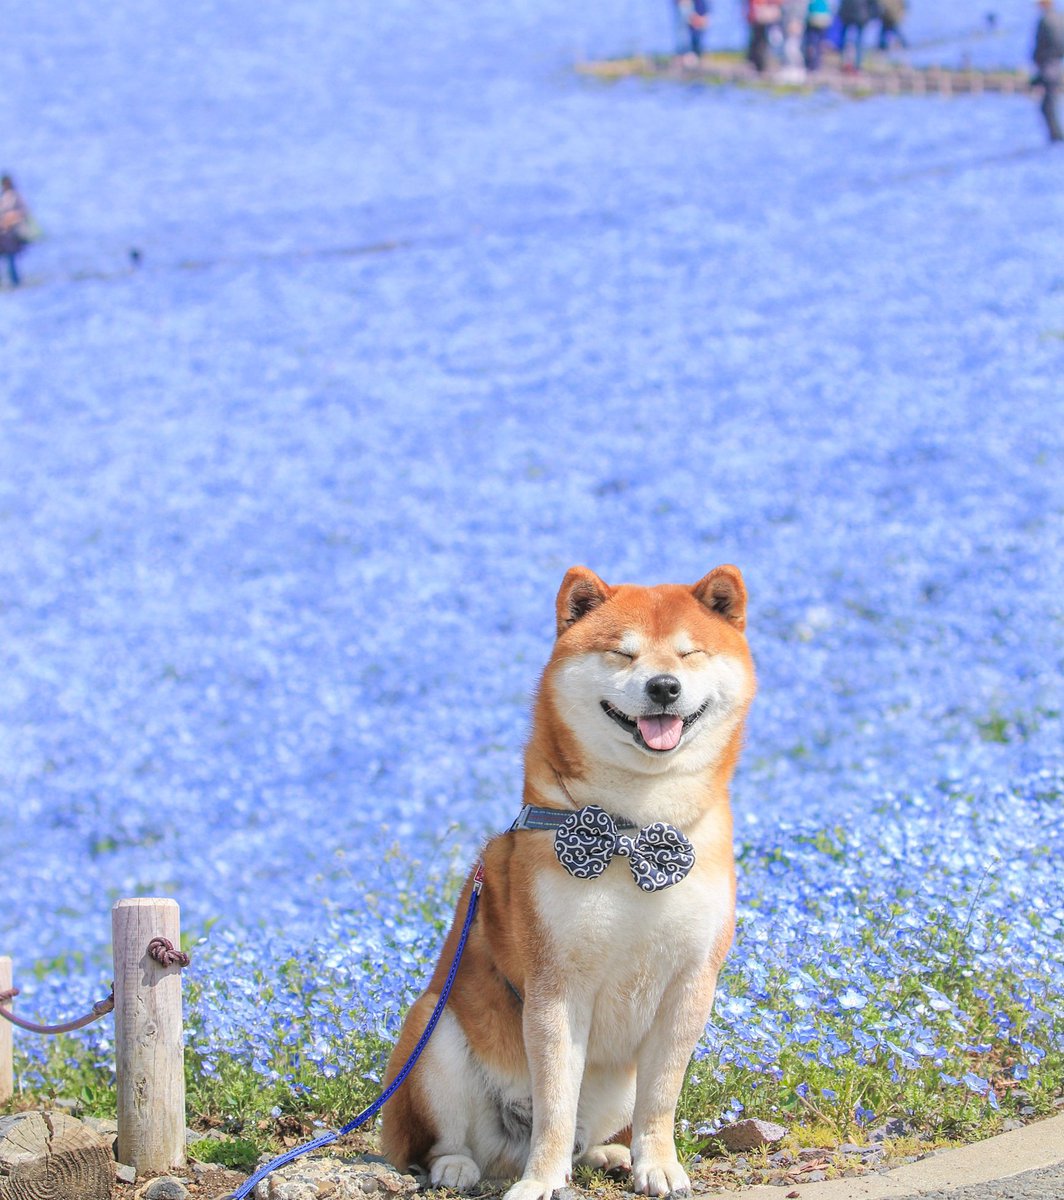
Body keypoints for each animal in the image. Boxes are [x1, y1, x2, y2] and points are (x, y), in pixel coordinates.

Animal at [383, 564, 758, 1200]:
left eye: (689, 653)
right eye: (622, 653)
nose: (663, 687)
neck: (634, 829)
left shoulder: (691, 984)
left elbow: (661, 1099)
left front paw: (658, 1166)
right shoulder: (556, 983)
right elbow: (557, 1100)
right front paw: (539, 1182)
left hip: (614, 1085)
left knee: (593, 1134)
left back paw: (610, 1154)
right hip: (434, 1031)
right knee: (443, 1140)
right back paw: (458, 1167)